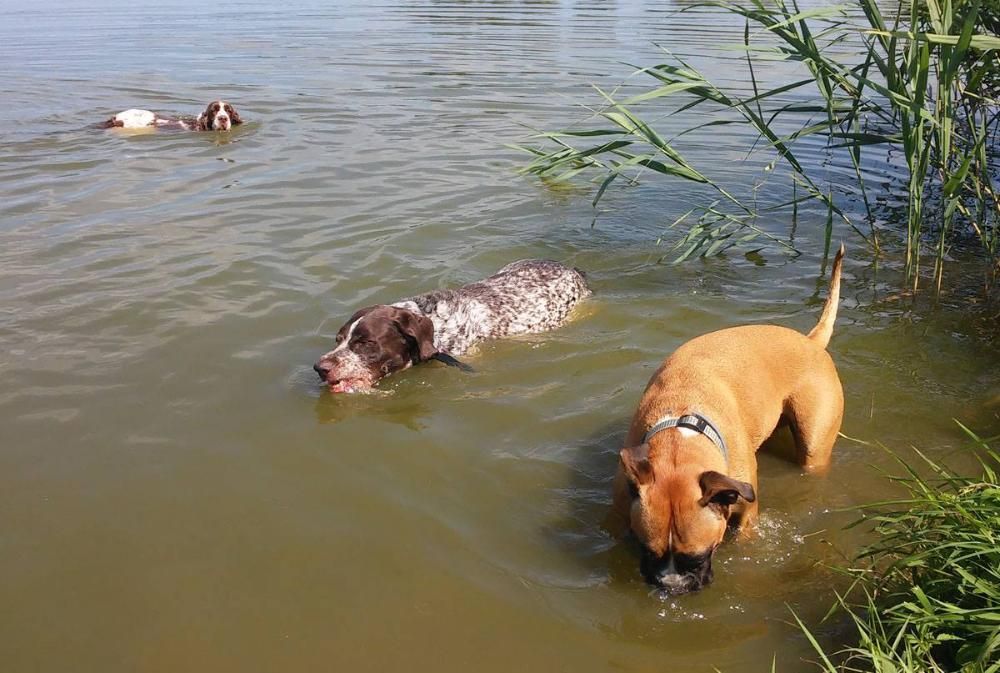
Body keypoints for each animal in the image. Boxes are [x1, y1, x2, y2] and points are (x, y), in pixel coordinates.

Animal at [608, 247, 844, 592]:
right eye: (647, 551)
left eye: (699, 556)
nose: (672, 585)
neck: (680, 433)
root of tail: (810, 341)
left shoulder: (747, 513)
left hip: (814, 445)